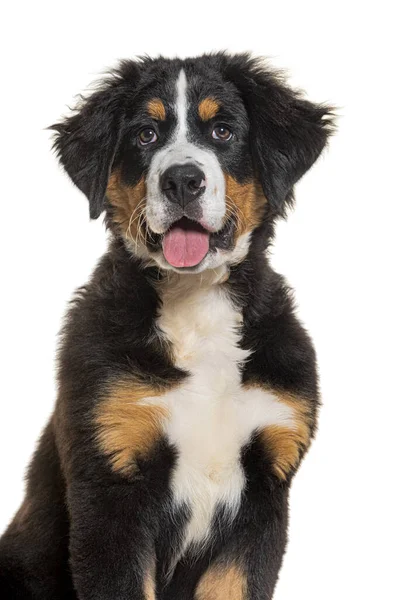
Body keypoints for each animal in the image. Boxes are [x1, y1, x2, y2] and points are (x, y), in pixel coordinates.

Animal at [0, 54, 334, 596]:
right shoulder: (110, 487)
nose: (181, 180)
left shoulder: (265, 492)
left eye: (222, 130)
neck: (197, 304)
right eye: (145, 135)